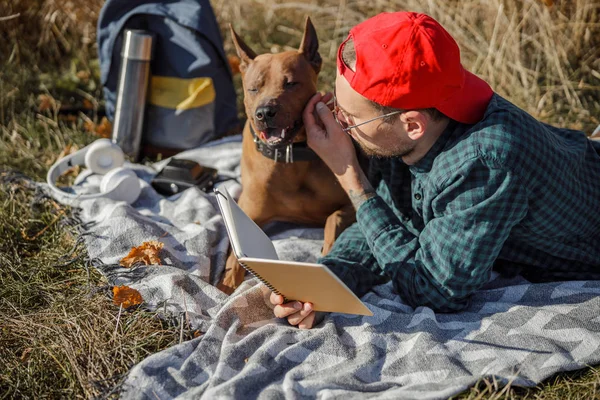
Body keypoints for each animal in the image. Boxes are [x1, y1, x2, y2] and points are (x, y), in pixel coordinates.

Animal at [217, 18, 354, 294]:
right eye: (253, 88)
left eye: (291, 83)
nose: (264, 113)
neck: (290, 157)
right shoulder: (247, 213)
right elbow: (235, 253)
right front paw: (227, 282)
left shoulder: (351, 206)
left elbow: (333, 218)